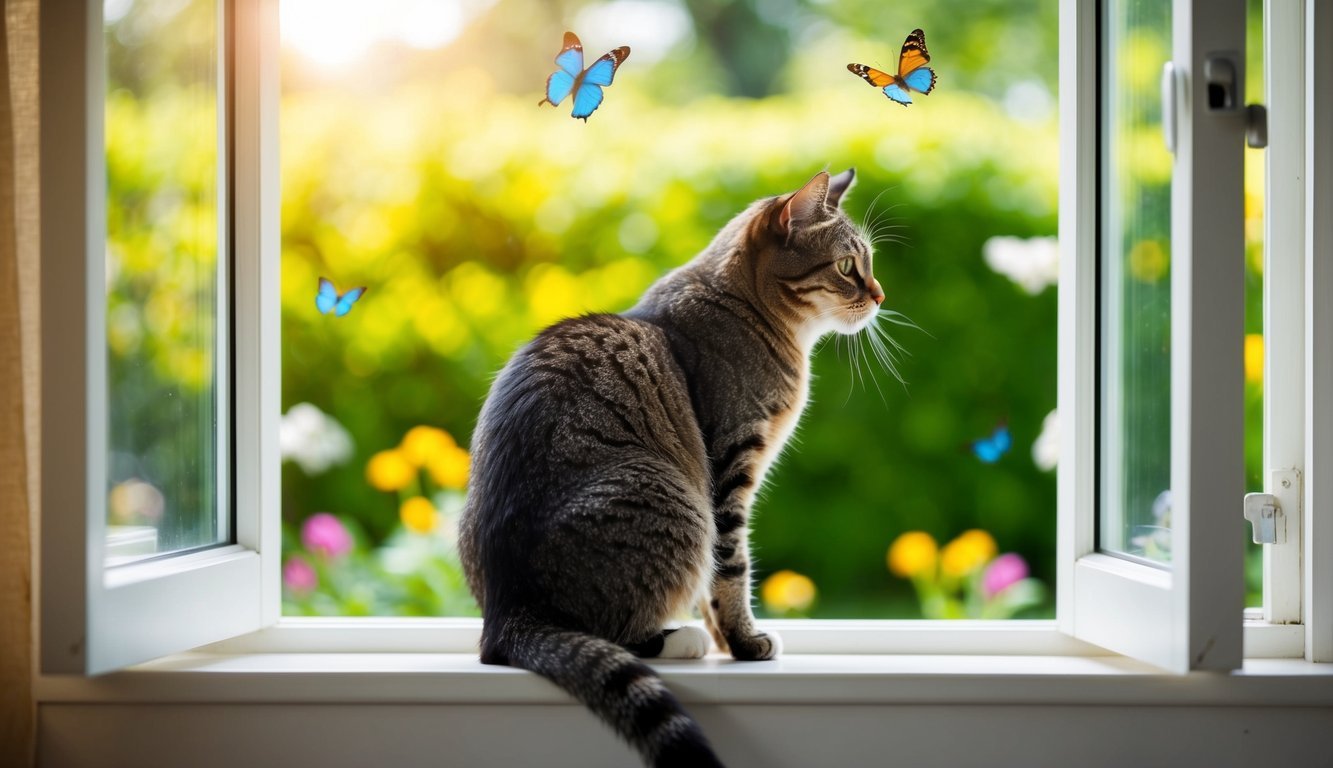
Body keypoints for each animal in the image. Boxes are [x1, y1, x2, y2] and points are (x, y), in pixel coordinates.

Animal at [458, 169, 885, 768]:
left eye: (868, 264)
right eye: (848, 266)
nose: (880, 295)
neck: (750, 311)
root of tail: (506, 613)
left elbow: (714, 584)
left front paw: (732, 642)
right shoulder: (728, 472)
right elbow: (731, 571)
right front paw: (744, 643)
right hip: (677, 501)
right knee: (611, 630)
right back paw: (682, 640)